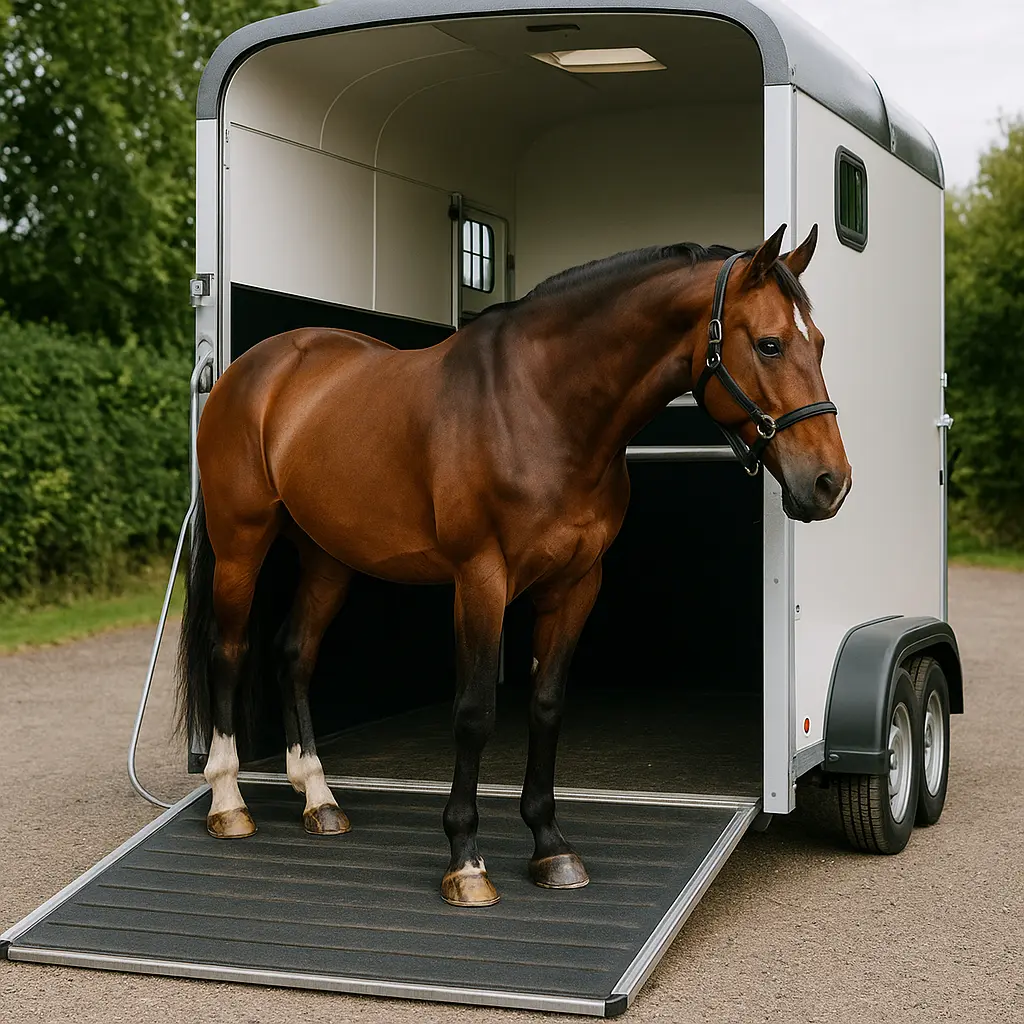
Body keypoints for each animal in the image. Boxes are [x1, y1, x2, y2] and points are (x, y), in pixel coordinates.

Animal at [177, 222, 850, 908]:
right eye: (769, 344)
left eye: (819, 343)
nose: (829, 483)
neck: (540, 407)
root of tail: (254, 368)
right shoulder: (480, 578)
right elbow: (474, 712)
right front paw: (466, 860)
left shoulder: (576, 583)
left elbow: (547, 705)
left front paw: (550, 846)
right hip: (241, 542)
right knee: (229, 651)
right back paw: (229, 803)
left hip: (327, 556)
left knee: (294, 653)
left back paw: (318, 798)